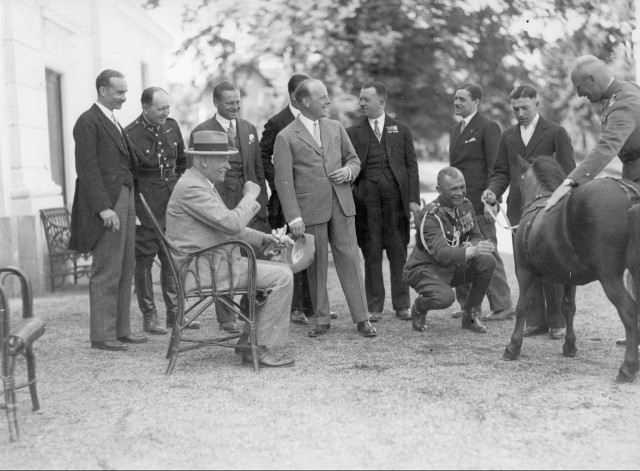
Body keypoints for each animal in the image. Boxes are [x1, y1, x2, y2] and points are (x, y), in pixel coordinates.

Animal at [504, 157, 640, 386]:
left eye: (520, 180)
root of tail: (628, 193)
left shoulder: (524, 271)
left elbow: (522, 307)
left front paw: (513, 347)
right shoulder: (569, 277)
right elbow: (569, 308)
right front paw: (569, 346)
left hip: (610, 277)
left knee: (629, 311)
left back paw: (627, 368)